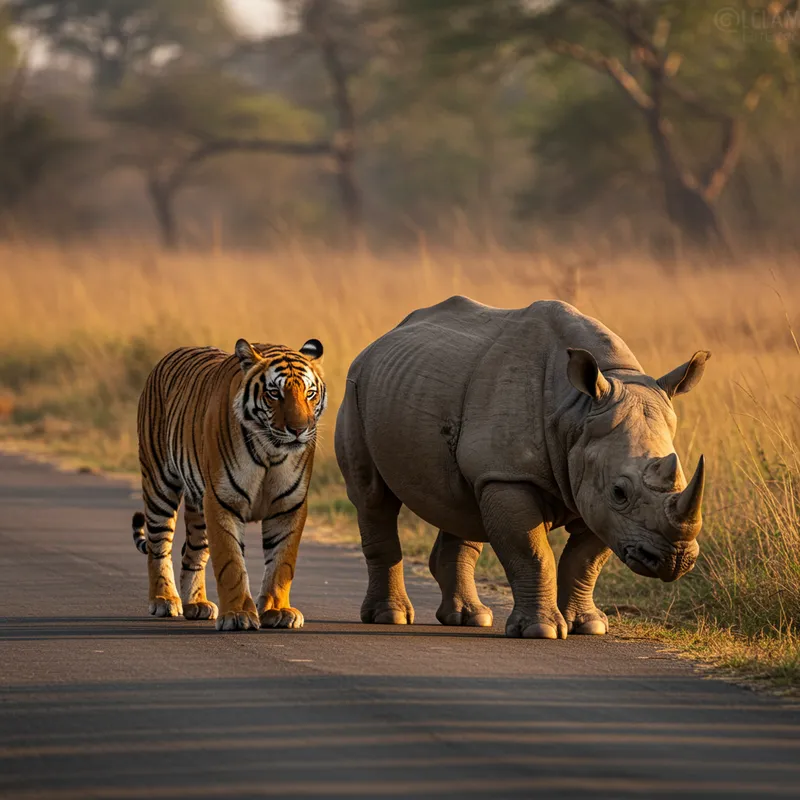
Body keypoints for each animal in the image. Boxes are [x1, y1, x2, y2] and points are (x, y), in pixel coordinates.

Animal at [131, 337, 326, 631]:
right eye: (274, 393)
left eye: (310, 394)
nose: (298, 430)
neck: (271, 452)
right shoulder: (223, 501)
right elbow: (231, 564)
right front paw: (238, 615)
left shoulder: (289, 505)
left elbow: (282, 562)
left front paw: (278, 610)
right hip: (159, 485)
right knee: (158, 546)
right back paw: (164, 599)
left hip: (198, 506)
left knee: (192, 552)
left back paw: (197, 604)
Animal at [335, 297, 709, 639]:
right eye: (620, 491)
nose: (675, 560)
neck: (578, 411)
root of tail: (379, 341)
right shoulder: (510, 475)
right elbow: (532, 552)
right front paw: (542, 630)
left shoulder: (594, 491)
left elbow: (586, 560)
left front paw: (589, 626)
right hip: (356, 388)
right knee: (372, 498)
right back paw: (391, 617)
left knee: (461, 506)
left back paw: (470, 618)